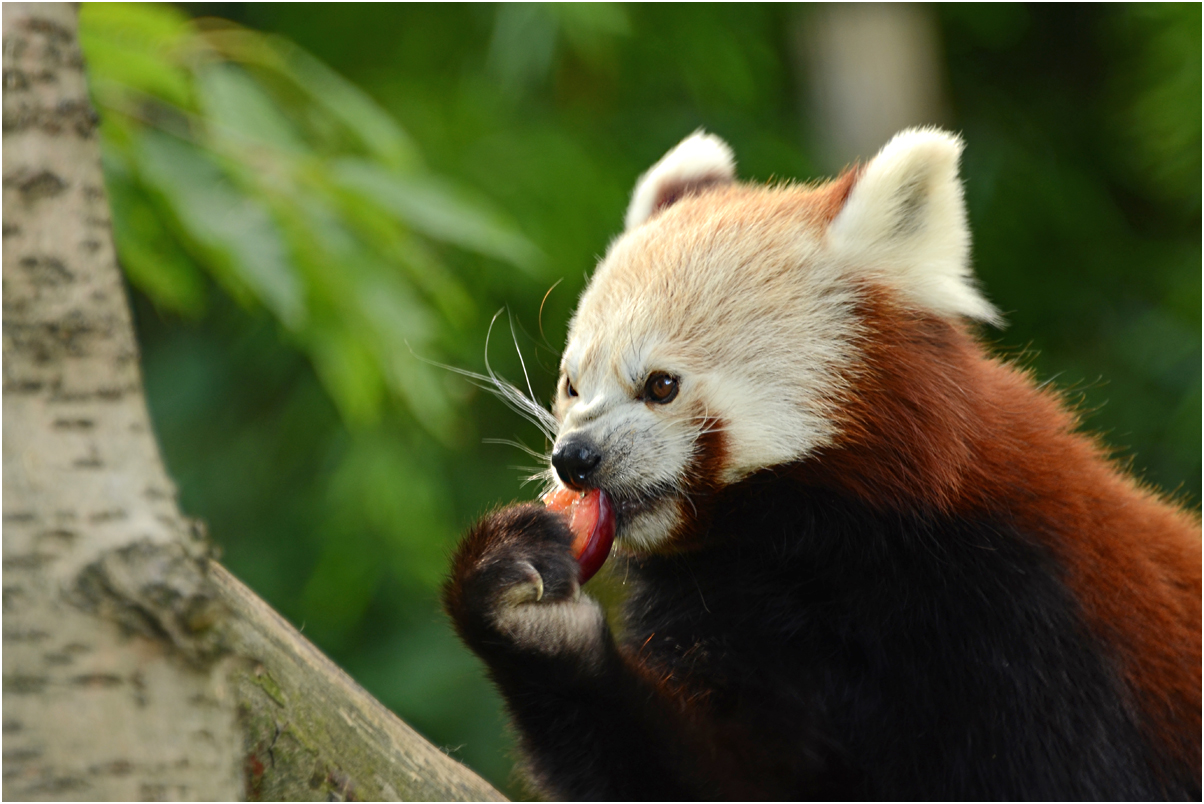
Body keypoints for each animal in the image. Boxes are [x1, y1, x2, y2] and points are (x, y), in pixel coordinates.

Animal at [445, 130, 1204, 799]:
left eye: (661, 385)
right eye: (572, 385)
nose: (574, 459)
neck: (814, 559)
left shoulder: (1037, 624)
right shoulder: (739, 621)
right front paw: (522, 608)